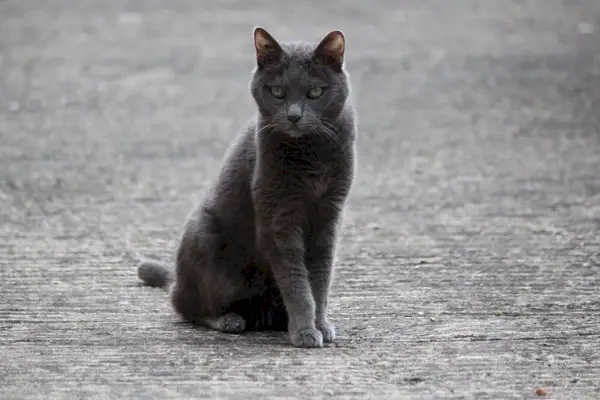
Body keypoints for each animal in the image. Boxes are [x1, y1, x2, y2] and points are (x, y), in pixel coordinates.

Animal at [137, 27, 356, 346]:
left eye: (316, 92)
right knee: (188, 308)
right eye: (277, 91)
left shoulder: (329, 213)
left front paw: (321, 325)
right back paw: (229, 320)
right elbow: (296, 280)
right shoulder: (278, 216)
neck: (311, 155)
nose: (293, 115)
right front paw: (305, 331)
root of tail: (176, 280)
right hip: (206, 241)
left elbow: (319, 278)